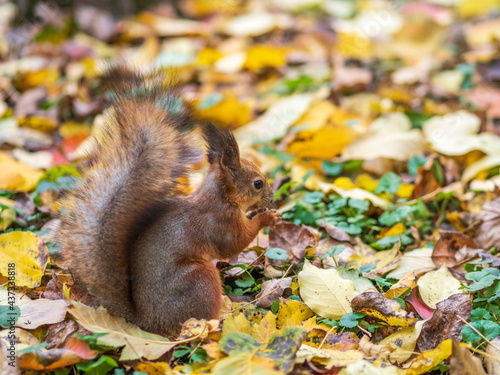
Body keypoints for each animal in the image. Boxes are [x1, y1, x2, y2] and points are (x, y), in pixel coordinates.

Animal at [58, 70, 282, 338]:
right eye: (258, 183)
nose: (272, 199)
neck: (220, 197)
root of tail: (147, 322)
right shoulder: (221, 222)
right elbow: (233, 244)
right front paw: (267, 217)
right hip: (199, 279)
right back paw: (224, 316)